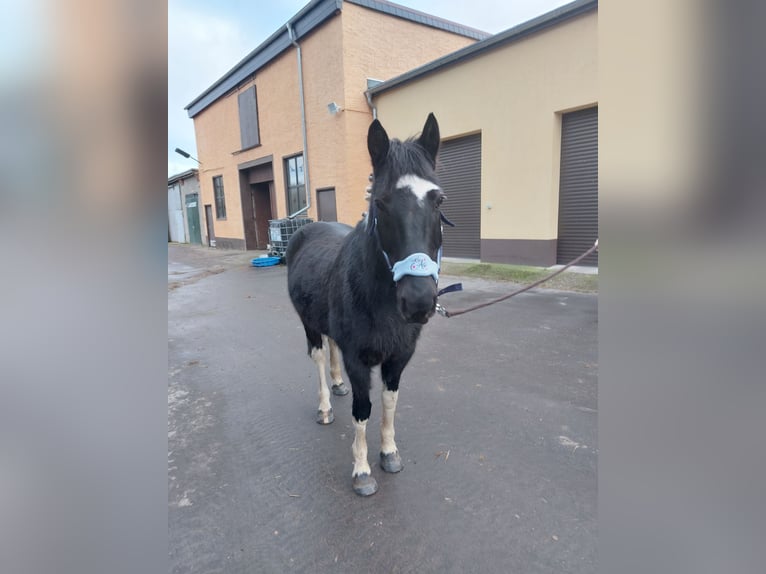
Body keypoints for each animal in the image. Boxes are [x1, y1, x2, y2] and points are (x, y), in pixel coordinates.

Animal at [286, 115, 444, 498]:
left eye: (438, 201)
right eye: (381, 203)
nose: (418, 301)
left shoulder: (398, 357)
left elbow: (388, 404)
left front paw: (389, 454)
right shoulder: (359, 359)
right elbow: (362, 409)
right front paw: (361, 472)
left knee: (330, 348)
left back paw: (337, 384)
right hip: (308, 323)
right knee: (318, 355)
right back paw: (325, 407)